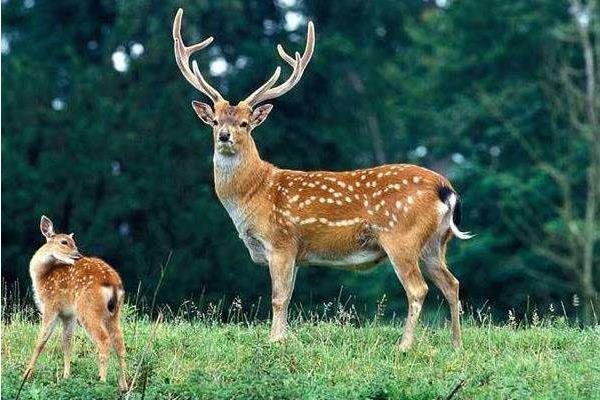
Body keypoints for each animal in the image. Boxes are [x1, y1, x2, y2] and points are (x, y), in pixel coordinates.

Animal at [24, 216, 127, 390]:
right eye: (65, 242)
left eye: (74, 242)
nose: (78, 254)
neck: (42, 276)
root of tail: (112, 283)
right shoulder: (68, 314)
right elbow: (67, 343)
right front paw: (66, 376)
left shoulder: (51, 305)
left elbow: (41, 341)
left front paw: (26, 374)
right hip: (114, 313)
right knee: (119, 342)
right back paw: (124, 385)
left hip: (88, 308)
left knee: (104, 340)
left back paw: (102, 381)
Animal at [173, 7, 474, 348]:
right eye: (215, 121)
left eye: (245, 123)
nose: (224, 136)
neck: (254, 194)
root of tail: (445, 188)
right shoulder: (295, 252)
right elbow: (289, 295)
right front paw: (284, 338)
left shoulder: (281, 241)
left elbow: (278, 298)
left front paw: (274, 342)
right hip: (436, 242)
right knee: (452, 283)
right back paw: (457, 345)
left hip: (401, 236)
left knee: (418, 289)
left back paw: (405, 345)